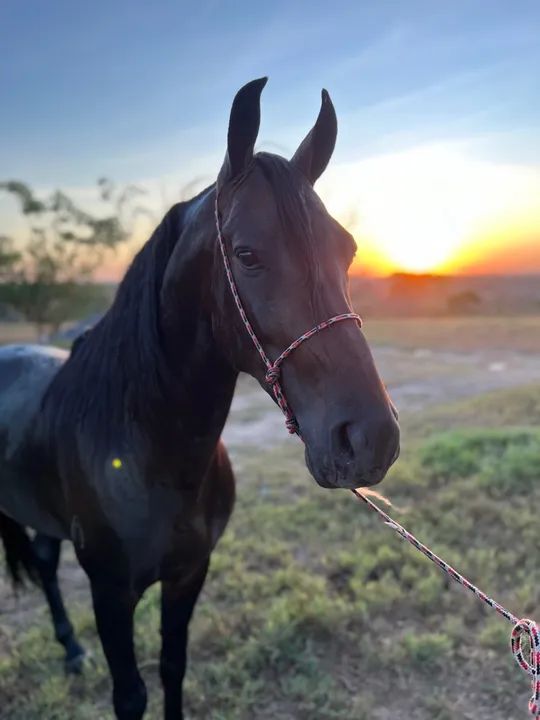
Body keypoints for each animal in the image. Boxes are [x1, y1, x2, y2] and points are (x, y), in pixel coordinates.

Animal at [0, 78, 400, 719]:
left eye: (349, 250)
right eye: (247, 254)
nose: (371, 439)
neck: (151, 453)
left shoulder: (189, 573)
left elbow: (173, 667)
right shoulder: (110, 594)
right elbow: (131, 694)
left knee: (41, 559)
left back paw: (70, 651)